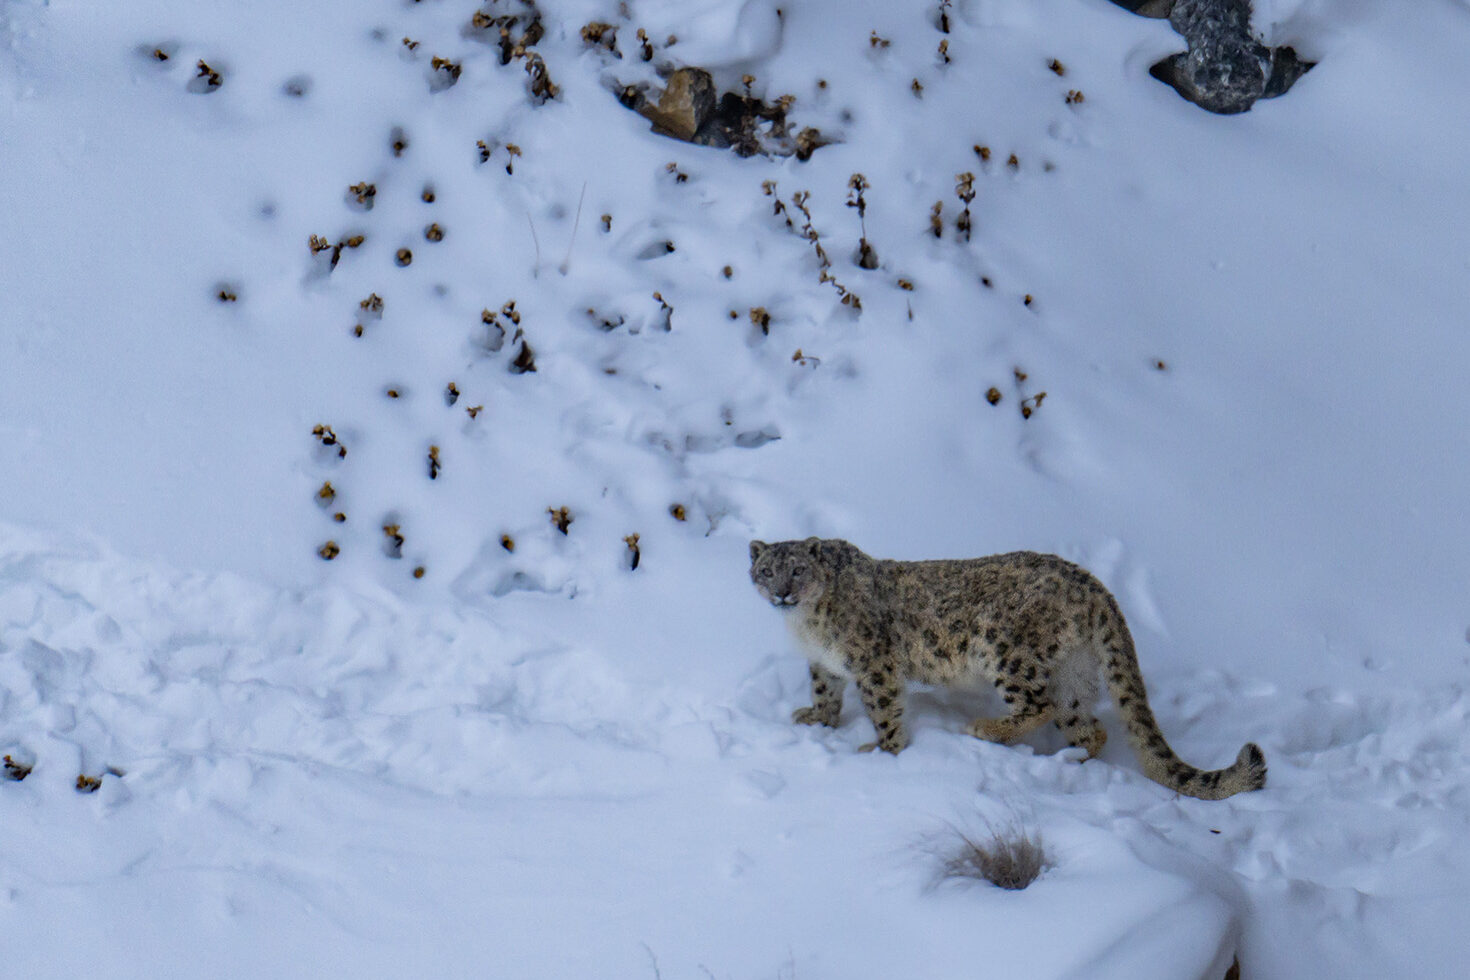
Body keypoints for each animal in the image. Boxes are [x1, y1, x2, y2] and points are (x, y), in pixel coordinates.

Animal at [748, 537, 1266, 800]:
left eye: (797, 569)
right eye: (767, 571)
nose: (782, 593)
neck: (807, 624)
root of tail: (1094, 585)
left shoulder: (874, 664)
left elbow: (883, 708)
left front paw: (883, 753)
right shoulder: (824, 664)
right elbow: (824, 693)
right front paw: (815, 720)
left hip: (1007, 652)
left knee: (1039, 705)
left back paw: (986, 729)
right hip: (1074, 672)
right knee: (1088, 724)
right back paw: (1072, 759)